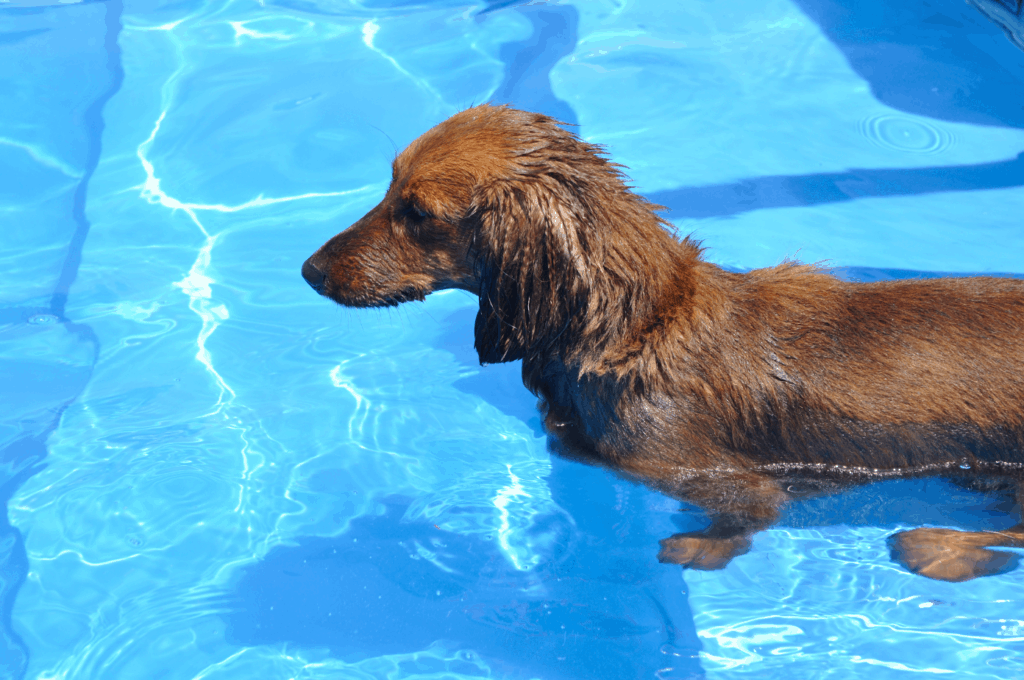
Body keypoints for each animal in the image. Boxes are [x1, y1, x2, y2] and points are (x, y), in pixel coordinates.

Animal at [301, 103, 1024, 581]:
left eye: (418, 212)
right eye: (389, 185)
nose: (309, 270)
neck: (636, 329)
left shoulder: (715, 476)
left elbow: (744, 519)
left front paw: (698, 549)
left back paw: (942, 547)